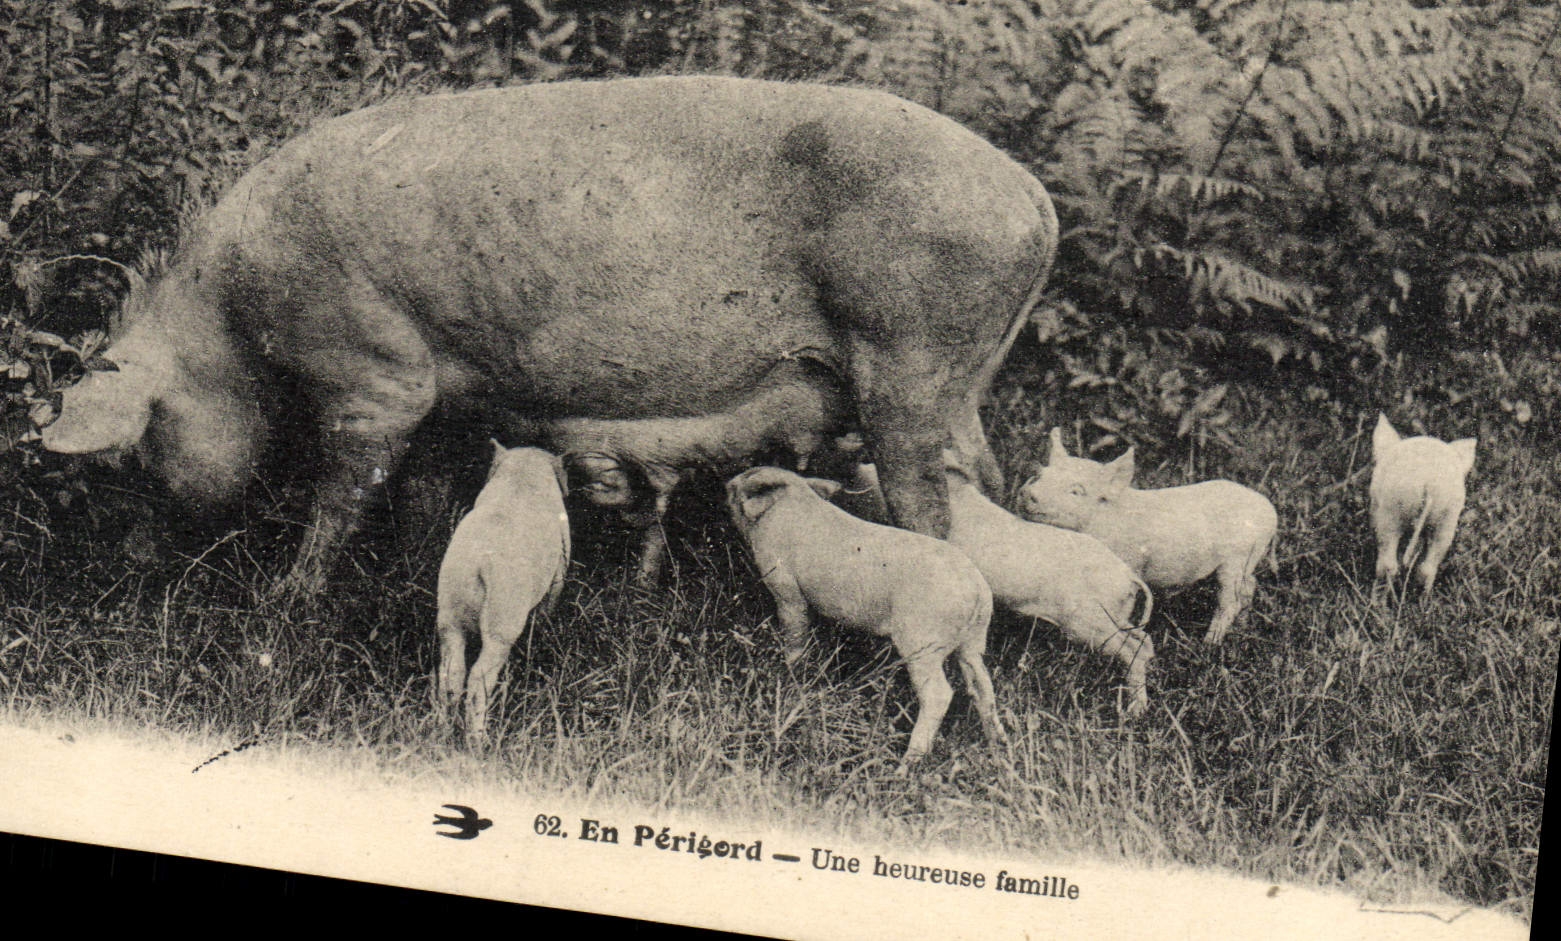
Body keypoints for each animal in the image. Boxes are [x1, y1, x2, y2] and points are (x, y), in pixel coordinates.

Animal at [39, 76, 1058, 594]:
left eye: (133, 449)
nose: (123, 562)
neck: (233, 319)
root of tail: (1033, 196)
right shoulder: (449, 389)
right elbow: (424, 493)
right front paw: (413, 574)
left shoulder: (376, 374)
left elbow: (345, 495)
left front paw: (286, 607)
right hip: (954, 379)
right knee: (990, 479)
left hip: (912, 358)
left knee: (935, 505)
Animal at [436, 443, 570, 742]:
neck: (522, 475)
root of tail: (477, 563)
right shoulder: (560, 566)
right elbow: (550, 603)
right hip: (502, 615)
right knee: (479, 676)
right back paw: (478, 739)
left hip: (448, 608)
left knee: (452, 672)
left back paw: (441, 729)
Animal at [725, 466, 1004, 767]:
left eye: (738, 487)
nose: (726, 484)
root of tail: (977, 588)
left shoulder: (786, 587)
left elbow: (795, 633)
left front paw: (789, 670)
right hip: (974, 640)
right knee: (982, 684)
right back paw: (997, 747)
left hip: (922, 641)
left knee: (939, 694)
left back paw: (905, 765)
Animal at [1019, 429, 1277, 645]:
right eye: (1041, 475)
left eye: (1076, 491)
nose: (1028, 492)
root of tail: (1269, 510)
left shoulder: (1129, 564)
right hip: (1247, 562)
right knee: (1249, 587)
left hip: (1238, 558)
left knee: (1229, 599)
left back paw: (1209, 644)